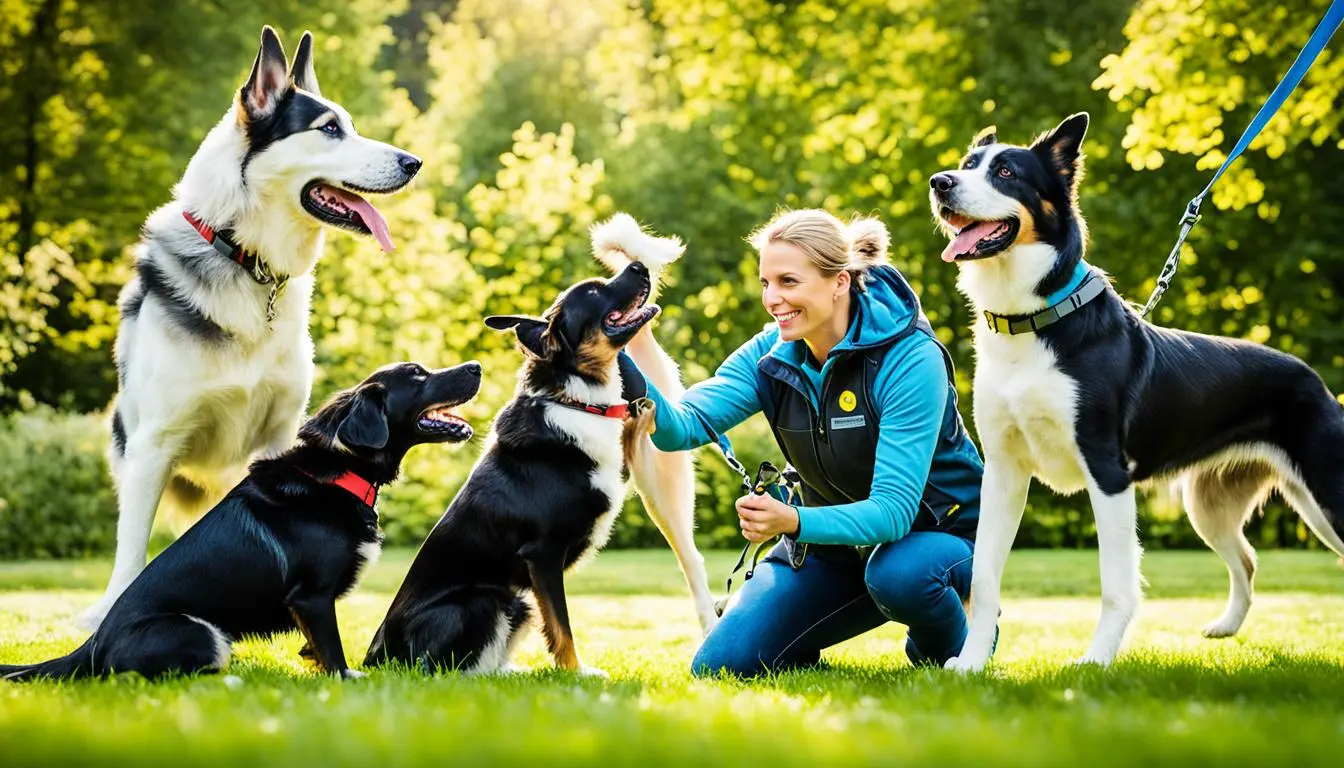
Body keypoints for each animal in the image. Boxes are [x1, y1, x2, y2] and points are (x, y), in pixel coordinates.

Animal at [0, 363, 483, 683]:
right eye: (417, 375)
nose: (476, 366)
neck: (338, 470)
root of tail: (91, 647)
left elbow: (314, 647)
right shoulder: (312, 596)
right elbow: (333, 649)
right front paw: (346, 681)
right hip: (201, 632)